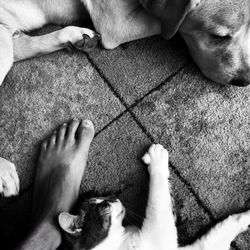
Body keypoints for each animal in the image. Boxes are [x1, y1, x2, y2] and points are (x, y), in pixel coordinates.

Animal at [0, 0, 250, 195]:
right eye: (219, 36)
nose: (245, 80)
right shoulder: (117, 25)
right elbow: (169, 25)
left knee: (19, 45)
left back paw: (74, 36)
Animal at [57, 144, 250, 250]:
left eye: (105, 196)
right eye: (104, 205)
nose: (114, 198)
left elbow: (225, 227)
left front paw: (246, 217)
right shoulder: (159, 231)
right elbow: (158, 196)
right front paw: (156, 158)